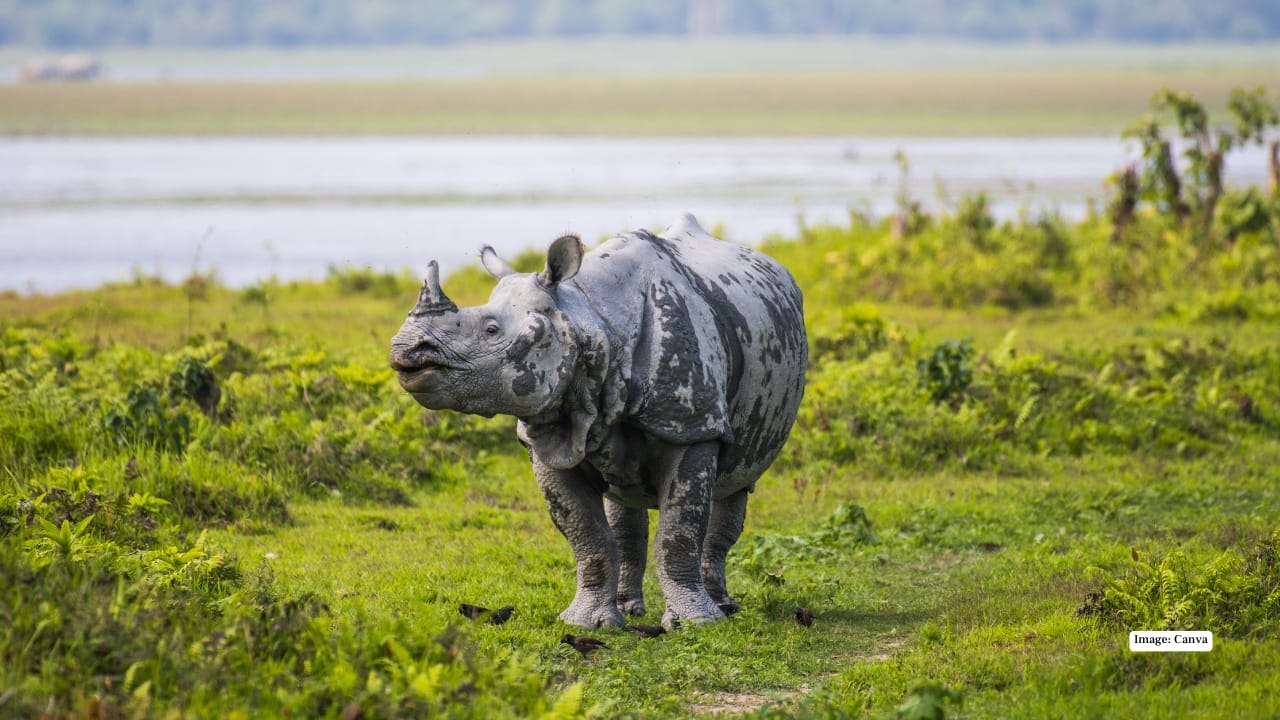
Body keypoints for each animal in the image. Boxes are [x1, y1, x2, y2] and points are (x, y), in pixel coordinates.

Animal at [390, 213, 807, 628]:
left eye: (491, 330)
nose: (406, 349)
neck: (590, 319)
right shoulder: (548, 436)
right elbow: (587, 535)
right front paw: (585, 623)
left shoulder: (692, 426)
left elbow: (678, 532)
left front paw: (695, 624)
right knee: (624, 505)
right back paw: (630, 609)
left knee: (735, 485)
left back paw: (722, 608)